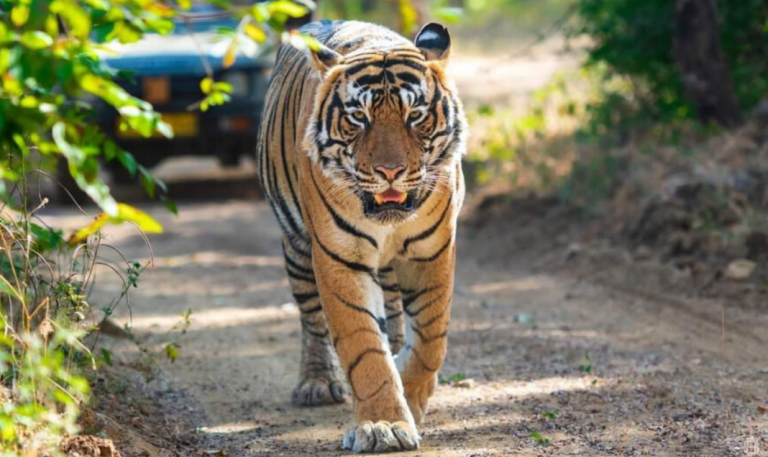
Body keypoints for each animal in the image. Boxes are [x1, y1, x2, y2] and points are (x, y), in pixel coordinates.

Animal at [256, 19, 467, 453]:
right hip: (297, 247)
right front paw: (383, 424)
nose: (390, 171)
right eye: (358, 117)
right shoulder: (339, 257)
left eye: (415, 115)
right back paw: (318, 382)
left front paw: (411, 397)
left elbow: (431, 339)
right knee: (312, 320)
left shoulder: (431, 252)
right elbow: (363, 346)